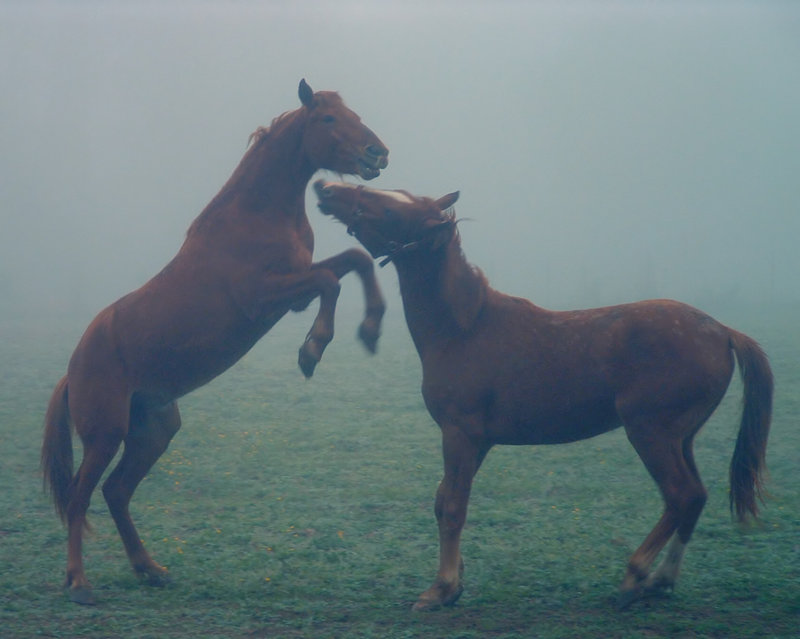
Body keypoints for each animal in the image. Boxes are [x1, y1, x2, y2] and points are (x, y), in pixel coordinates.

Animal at [41, 80, 388, 604]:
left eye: (356, 115)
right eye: (327, 118)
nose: (377, 153)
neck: (255, 215)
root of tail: (71, 370)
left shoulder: (295, 292)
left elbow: (354, 261)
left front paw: (370, 328)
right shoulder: (265, 297)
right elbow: (331, 279)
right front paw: (312, 351)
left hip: (154, 431)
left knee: (115, 492)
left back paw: (150, 569)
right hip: (104, 434)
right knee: (81, 496)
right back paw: (79, 582)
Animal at [313, 179, 773, 611]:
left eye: (393, 209)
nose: (326, 188)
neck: (465, 328)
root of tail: (723, 331)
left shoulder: (460, 433)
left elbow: (454, 508)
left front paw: (440, 589)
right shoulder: (478, 441)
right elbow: (444, 499)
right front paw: (454, 582)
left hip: (651, 433)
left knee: (681, 495)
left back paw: (634, 577)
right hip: (683, 437)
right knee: (696, 497)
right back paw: (660, 581)